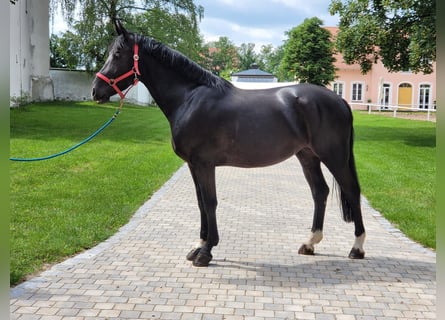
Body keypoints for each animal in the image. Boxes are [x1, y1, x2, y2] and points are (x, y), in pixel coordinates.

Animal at [93, 20, 364, 268]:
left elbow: (210, 202)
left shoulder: (204, 164)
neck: (190, 98)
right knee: (319, 192)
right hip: (307, 156)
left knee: (351, 190)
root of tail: (340, 101)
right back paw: (309, 243)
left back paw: (357, 248)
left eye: (117, 54)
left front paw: (205, 252)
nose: (96, 90)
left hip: (334, 156)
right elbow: (200, 203)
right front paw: (199, 246)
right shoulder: (193, 165)